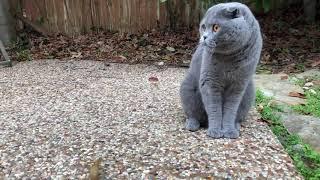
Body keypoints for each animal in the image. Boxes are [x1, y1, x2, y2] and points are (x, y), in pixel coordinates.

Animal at [180, 2, 262, 139]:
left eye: (216, 27)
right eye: (203, 27)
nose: (204, 37)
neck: (230, 57)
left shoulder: (239, 84)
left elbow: (230, 110)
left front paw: (229, 131)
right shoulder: (210, 81)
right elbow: (214, 108)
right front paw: (215, 131)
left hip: (249, 91)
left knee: (238, 116)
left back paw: (236, 126)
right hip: (187, 87)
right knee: (193, 114)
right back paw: (192, 125)